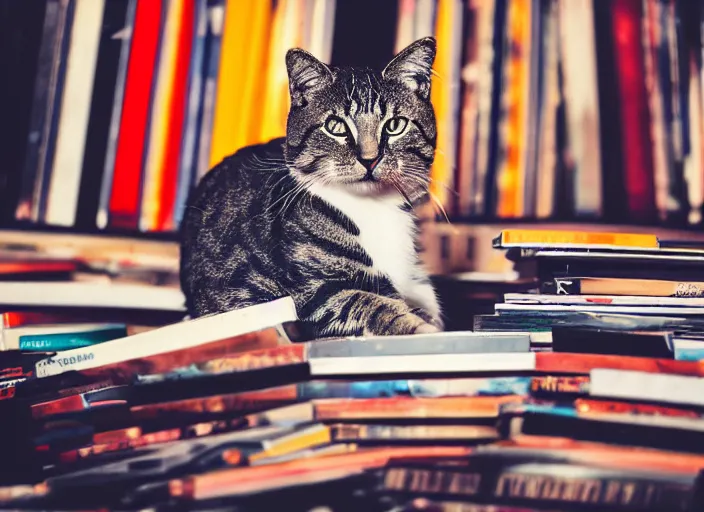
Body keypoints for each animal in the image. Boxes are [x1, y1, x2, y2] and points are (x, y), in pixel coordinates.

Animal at [182, 37, 446, 340]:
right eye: (336, 126)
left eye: (395, 125)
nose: (369, 159)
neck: (372, 209)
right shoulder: (309, 294)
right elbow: (368, 302)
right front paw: (418, 327)